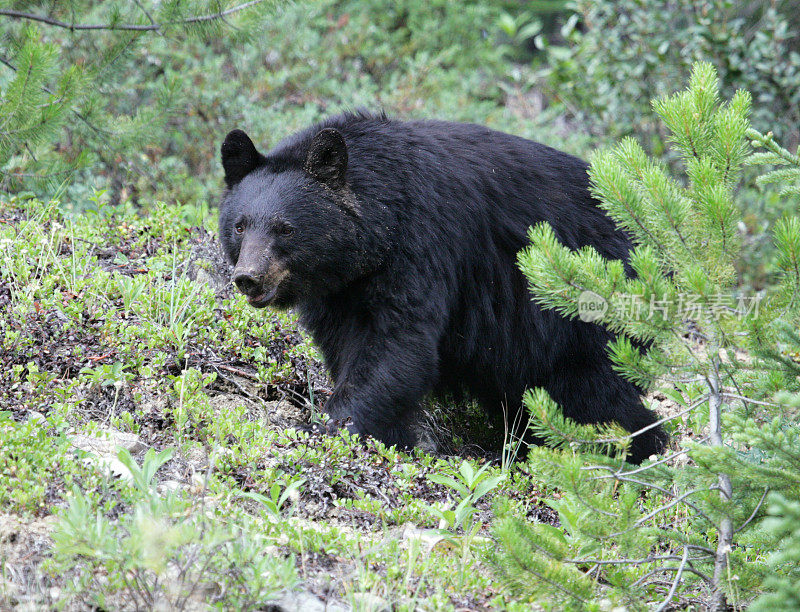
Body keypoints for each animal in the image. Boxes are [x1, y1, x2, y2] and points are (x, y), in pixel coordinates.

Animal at [219, 111, 668, 464]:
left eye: (286, 228)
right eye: (240, 225)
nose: (248, 277)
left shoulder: (421, 245)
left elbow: (398, 344)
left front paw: (329, 429)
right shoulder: (338, 292)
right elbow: (350, 348)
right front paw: (390, 438)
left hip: (586, 312)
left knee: (594, 397)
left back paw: (635, 451)